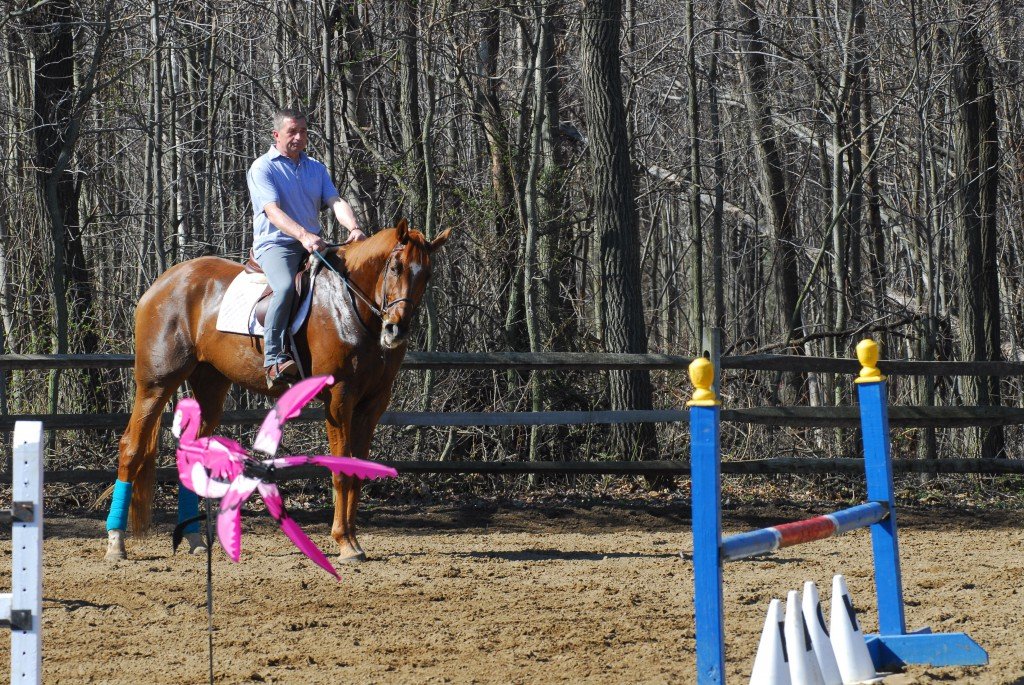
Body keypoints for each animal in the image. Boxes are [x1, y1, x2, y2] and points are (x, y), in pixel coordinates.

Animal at [104, 220, 452, 561]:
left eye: (427, 274)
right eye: (395, 267)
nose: (396, 330)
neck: (349, 307)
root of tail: (161, 284)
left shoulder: (372, 404)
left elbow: (357, 471)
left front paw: (353, 541)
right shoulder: (339, 399)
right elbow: (341, 470)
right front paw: (344, 543)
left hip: (210, 386)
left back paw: (194, 539)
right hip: (156, 384)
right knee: (131, 447)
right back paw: (116, 542)